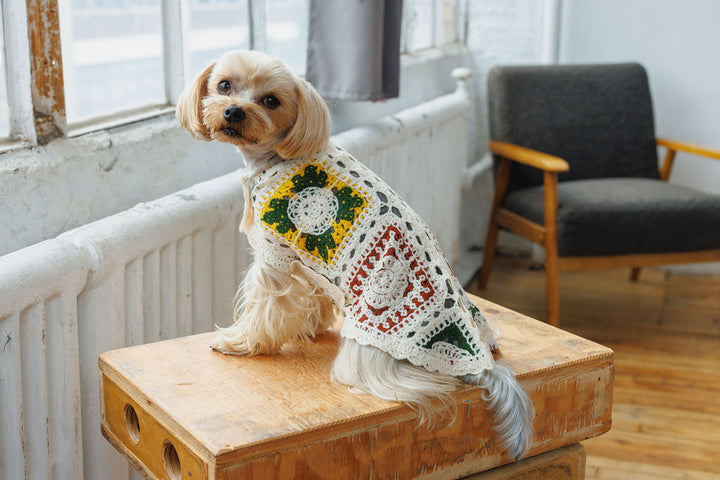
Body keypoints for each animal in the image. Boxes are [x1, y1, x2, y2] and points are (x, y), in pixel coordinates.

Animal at [176, 50, 532, 460]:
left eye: (271, 101)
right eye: (224, 85)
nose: (233, 111)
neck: (275, 155)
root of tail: (480, 364)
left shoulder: (273, 258)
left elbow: (262, 310)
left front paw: (239, 341)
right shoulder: (310, 265)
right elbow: (312, 299)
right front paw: (310, 327)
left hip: (369, 349)